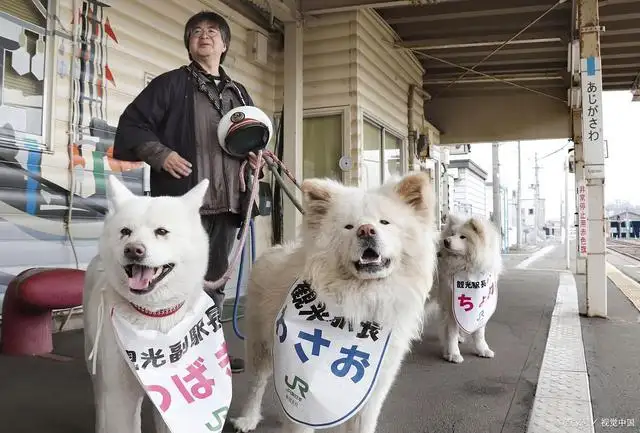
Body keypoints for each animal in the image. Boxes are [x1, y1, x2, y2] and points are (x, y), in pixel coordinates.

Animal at [231, 172, 440, 432]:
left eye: (384, 222)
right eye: (349, 227)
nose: (366, 230)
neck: (358, 301)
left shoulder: (371, 386)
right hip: (260, 345)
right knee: (257, 384)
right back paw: (247, 419)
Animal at [428, 214, 502, 362]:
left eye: (463, 237)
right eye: (452, 234)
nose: (446, 241)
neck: (466, 267)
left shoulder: (480, 308)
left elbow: (479, 333)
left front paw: (483, 349)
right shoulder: (451, 307)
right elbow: (451, 333)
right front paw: (453, 354)